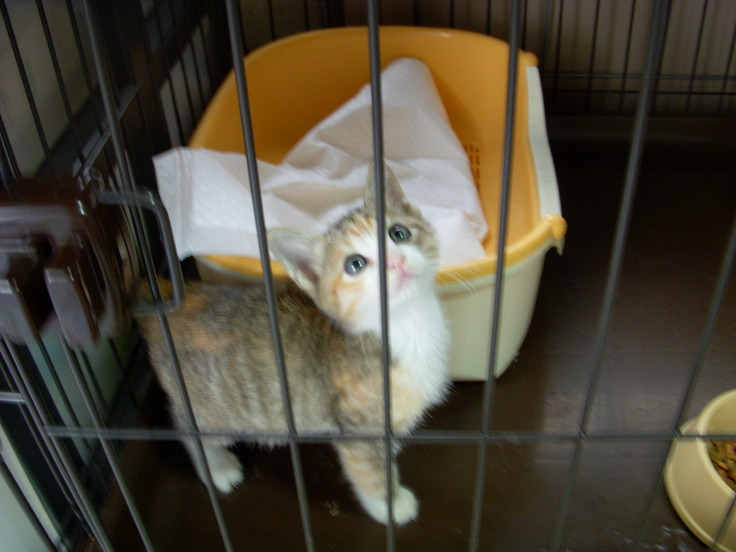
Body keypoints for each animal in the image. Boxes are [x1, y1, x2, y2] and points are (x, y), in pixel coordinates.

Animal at [137, 164, 450, 525]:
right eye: (355, 264)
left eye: (399, 233)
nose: (395, 261)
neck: (407, 324)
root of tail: (173, 301)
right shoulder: (358, 431)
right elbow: (371, 473)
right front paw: (391, 504)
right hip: (214, 411)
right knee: (188, 431)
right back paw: (217, 468)